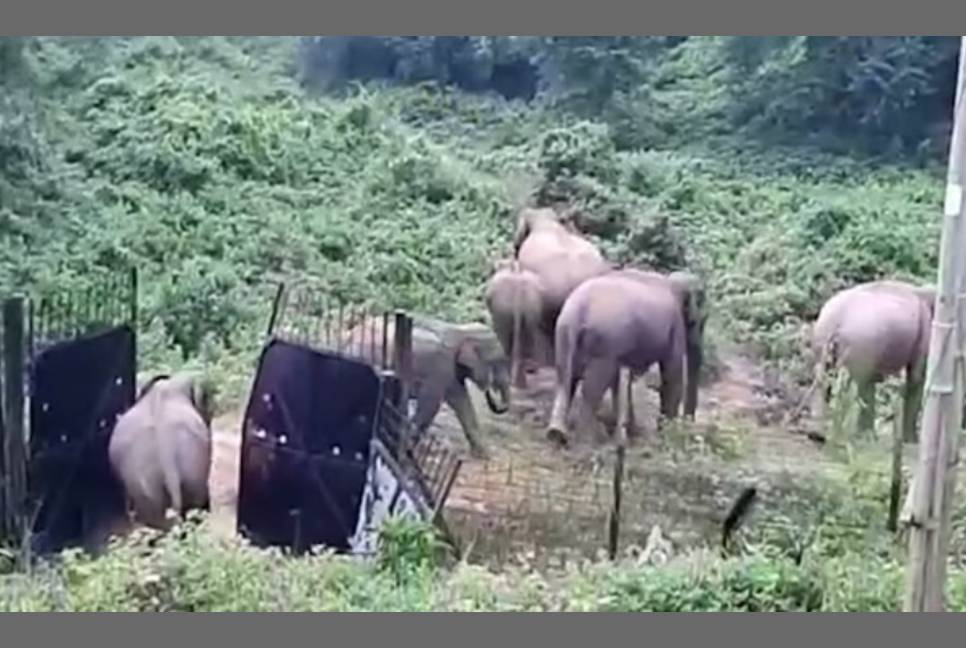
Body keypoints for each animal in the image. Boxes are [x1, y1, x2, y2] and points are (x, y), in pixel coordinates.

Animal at [344, 314, 520, 456]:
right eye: (497, 362)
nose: (490, 391)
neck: (462, 330)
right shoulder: (441, 367)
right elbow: (431, 404)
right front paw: (409, 448)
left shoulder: (451, 372)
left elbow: (462, 402)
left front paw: (483, 455)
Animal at [484, 258, 552, 390]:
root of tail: (518, 295)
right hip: (532, 306)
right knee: (530, 334)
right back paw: (528, 374)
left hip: (502, 311)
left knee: (504, 337)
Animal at [548, 268, 708, 446]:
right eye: (699, 321)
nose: (688, 429)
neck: (672, 281)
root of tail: (577, 310)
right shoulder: (676, 327)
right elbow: (673, 377)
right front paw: (666, 436)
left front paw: (631, 432)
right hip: (604, 342)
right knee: (592, 387)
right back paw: (588, 441)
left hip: (564, 333)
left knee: (566, 377)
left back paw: (556, 434)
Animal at [808, 278, 936, 440]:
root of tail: (836, 322)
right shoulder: (926, 333)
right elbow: (917, 378)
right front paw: (911, 441)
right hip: (861, 345)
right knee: (862, 383)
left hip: (823, 341)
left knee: (824, 377)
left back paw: (817, 434)